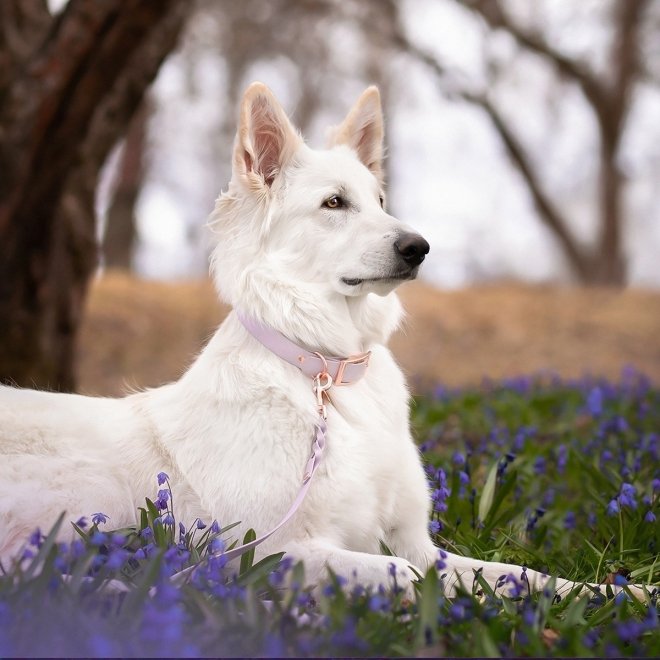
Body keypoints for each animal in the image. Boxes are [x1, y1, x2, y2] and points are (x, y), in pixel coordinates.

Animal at [0, 82, 644, 600]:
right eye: (335, 203)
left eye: (380, 201)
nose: (419, 247)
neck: (328, 373)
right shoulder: (271, 549)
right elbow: (408, 577)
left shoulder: (415, 540)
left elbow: (518, 574)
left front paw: (620, 594)